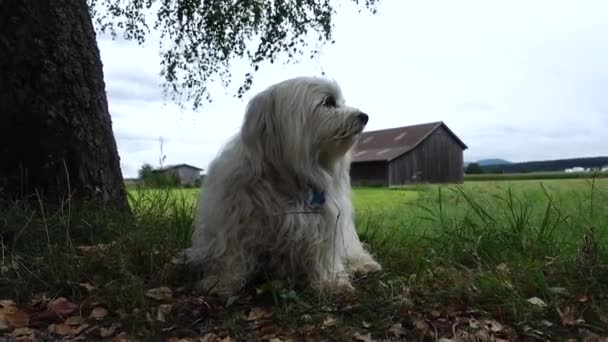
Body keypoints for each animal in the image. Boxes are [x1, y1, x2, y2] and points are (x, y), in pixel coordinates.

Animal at [176, 76, 382, 296]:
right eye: (328, 101)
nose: (364, 116)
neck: (289, 177)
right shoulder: (232, 219)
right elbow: (231, 253)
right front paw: (222, 281)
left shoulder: (325, 224)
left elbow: (324, 256)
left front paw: (331, 282)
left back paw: (362, 264)